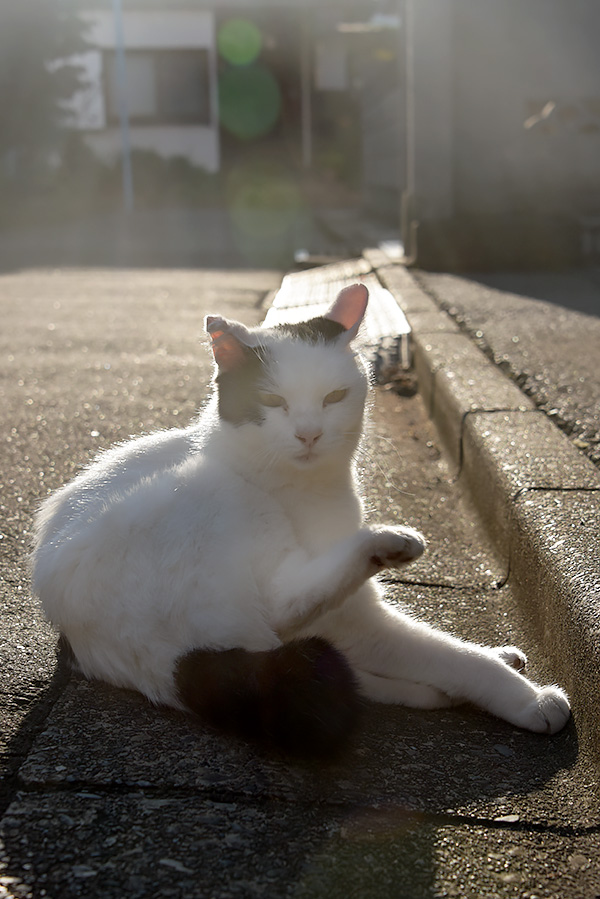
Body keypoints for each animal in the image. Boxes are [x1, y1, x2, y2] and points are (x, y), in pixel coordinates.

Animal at [29, 284, 572, 760]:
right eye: (273, 402)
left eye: (334, 397)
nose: (309, 434)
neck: (314, 493)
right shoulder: (355, 618)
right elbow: (448, 655)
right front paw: (526, 698)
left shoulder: (355, 618)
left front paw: (495, 661)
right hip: (215, 524)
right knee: (289, 606)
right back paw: (387, 544)